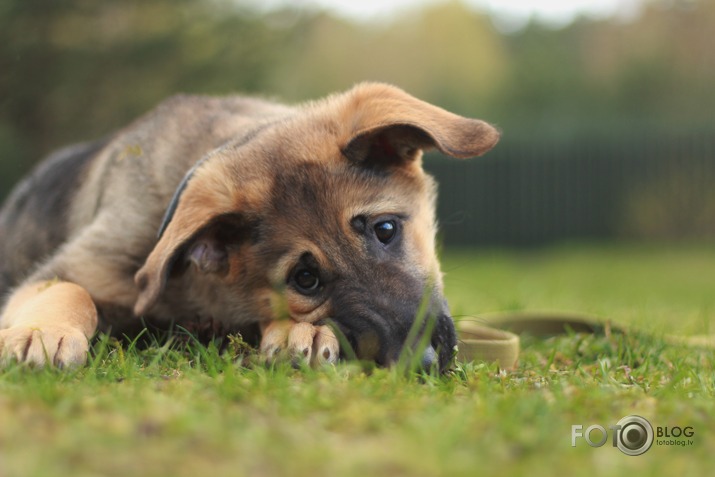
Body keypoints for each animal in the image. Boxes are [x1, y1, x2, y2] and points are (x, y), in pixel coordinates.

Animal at [0, 82, 498, 372]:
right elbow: (68, 288)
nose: (423, 363)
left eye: (386, 230)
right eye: (305, 278)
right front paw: (41, 333)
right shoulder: (78, 267)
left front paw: (302, 331)